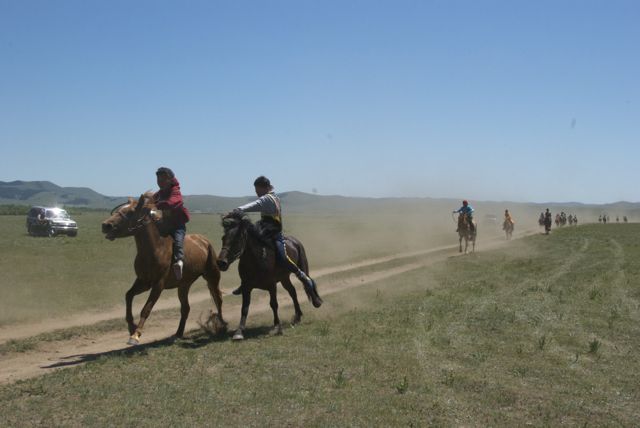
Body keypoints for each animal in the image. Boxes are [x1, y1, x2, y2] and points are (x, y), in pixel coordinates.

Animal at [101, 193, 227, 345]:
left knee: (218, 299)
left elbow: (146, 309)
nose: (106, 225)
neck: (155, 248)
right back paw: (178, 333)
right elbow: (128, 295)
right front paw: (131, 327)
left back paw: (221, 326)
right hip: (183, 285)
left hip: (212, 277)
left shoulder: (158, 285)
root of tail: (204, 242)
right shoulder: (143, 282)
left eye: (130, 212)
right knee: (186, 308)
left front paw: (135, 335)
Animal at [216, 212, 322, 341]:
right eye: (223, 238)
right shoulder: (246, 287)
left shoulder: (271, 285)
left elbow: (273, 304)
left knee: (306, 280)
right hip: (284, 278)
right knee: (293, 292)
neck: (256, 260)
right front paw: (239, 331)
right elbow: (244, 308)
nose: (221, 263)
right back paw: (297, 317)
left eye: (237, 239)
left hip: (299, 268)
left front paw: (276, 327)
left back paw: (316, 301)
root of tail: (295, 241)